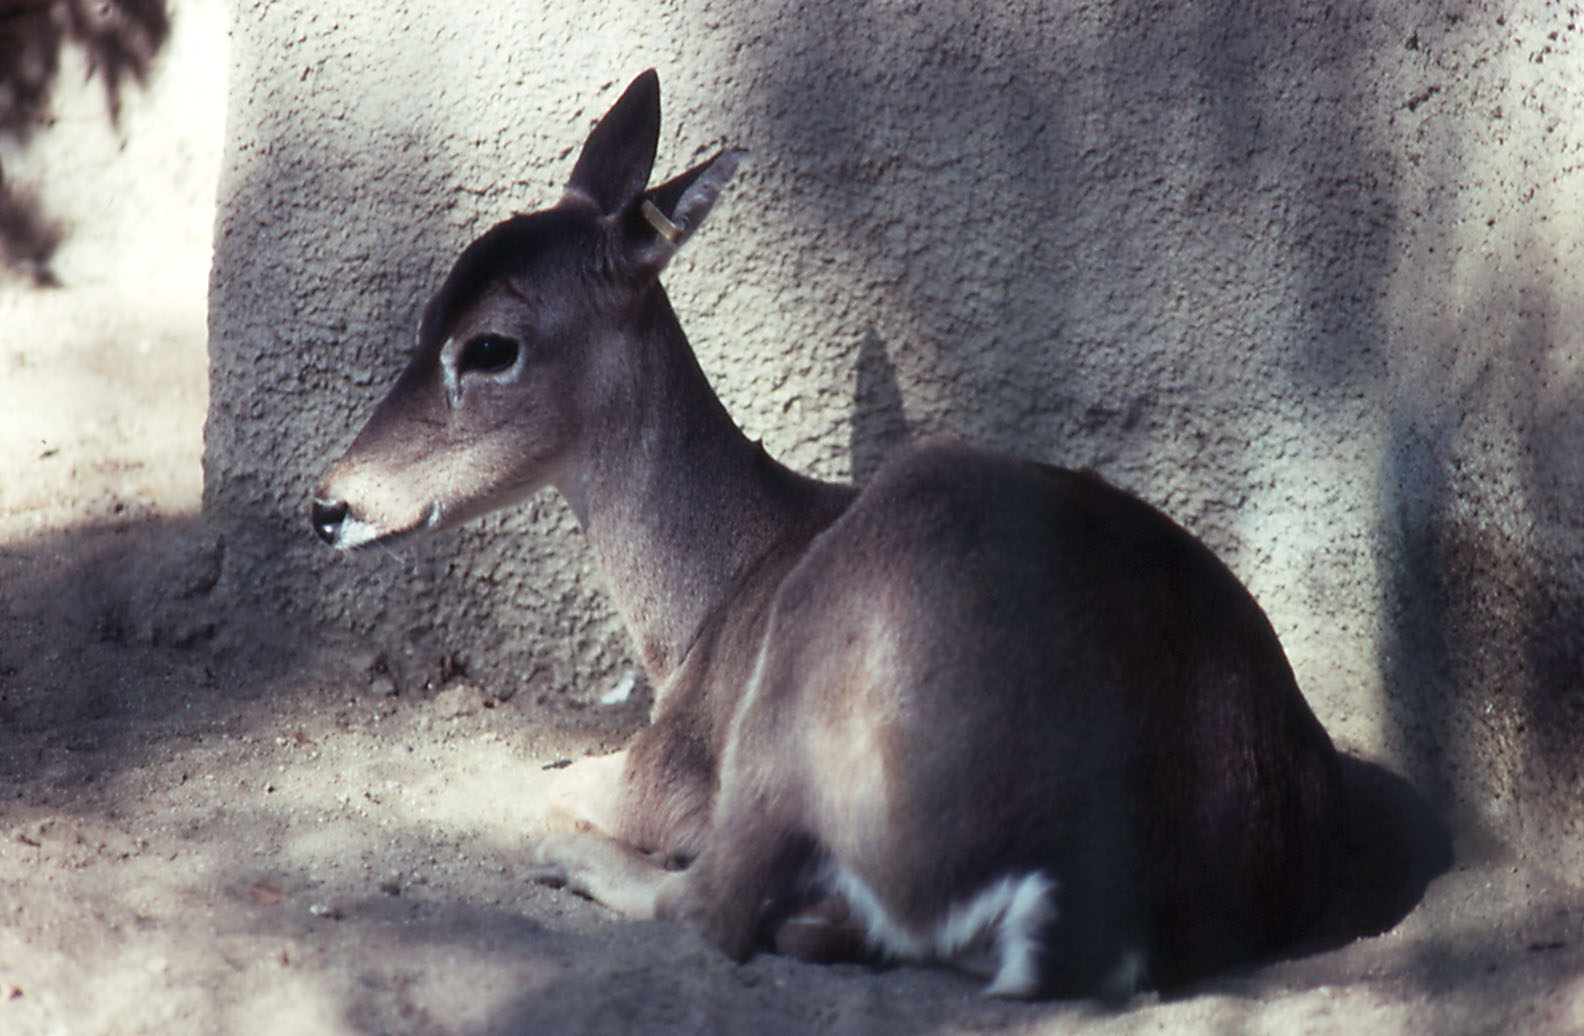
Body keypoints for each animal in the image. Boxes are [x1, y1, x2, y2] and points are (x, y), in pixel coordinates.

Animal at [310, 70, 1345, 998]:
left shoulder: (675, 762)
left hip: (809, 669)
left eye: (490, 346)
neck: (703, 606)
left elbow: (563, 782)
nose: (328, 504)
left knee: (715, 906)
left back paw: (584, 866)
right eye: (425, 316)